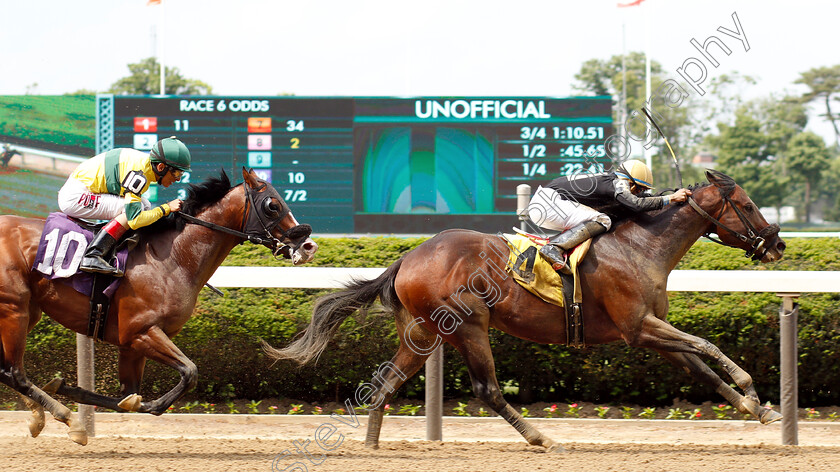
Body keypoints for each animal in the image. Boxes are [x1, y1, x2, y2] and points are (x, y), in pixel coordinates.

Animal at [0, 168, 316, 444]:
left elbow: (129, 395)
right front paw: (70, 394)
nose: (308, 246)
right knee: (15, 373)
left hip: (29, 312)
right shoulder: (142, 332)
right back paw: (68, 420)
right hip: (14, 309)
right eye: (272, 205)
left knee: (6, 371)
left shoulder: (132, 343)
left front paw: (72, 388)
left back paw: (41, 416)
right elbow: (188, 374)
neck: (174, 257)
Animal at [268, 171, 788, 454]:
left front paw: (756, 408)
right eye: (746, 205)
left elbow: (700, 367)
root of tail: (409, 257)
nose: (777, 245)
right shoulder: (638, 327)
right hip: (467, 325)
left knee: (387, 381)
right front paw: (753, 390)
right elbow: (707, 345)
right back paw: (544, 438)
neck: (641, 246)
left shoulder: (649, 331)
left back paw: (372, 445)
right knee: (488, 390)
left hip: (423, 333)